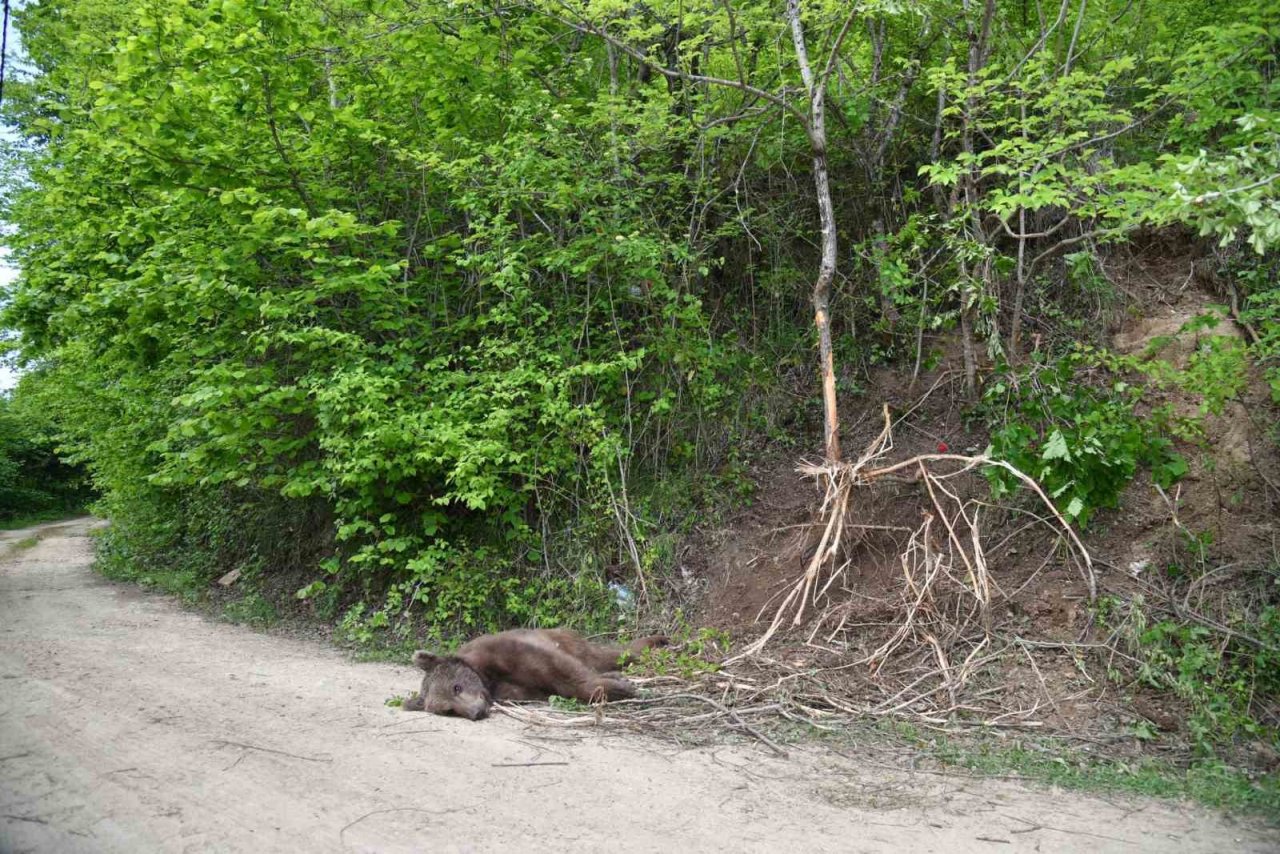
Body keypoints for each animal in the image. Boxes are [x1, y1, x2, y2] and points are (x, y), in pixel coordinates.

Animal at [401, 627, 670, 722]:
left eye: (456, 687)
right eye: (449, 710)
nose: (475, 713)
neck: (487, 677)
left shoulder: (509, 653)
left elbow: (562, 673)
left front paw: (623, 687)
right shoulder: (511, 689)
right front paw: (619, 684)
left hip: (566, 639)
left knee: (604, 655)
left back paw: (656, 642)